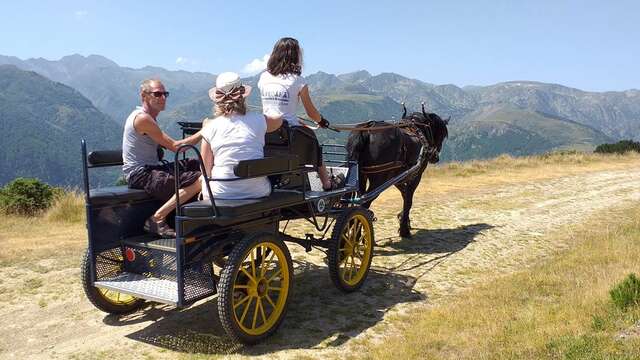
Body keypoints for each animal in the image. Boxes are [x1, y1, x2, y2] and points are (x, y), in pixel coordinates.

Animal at [344, 104, 450, 238]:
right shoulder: (415, 176)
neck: (418, 131)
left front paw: (403, 219)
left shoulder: (397, 178)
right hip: (379, 180)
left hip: (360, 176)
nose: (435, 157)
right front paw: (404, 228)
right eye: (441, 134)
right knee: (363, 204)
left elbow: (405, 196)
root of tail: (367, 129)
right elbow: (409, 200)